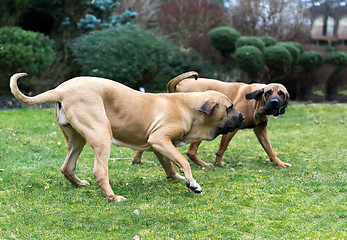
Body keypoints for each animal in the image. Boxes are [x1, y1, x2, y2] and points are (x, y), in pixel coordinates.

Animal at [10, 72, 245, 202]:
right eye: (229, 108)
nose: (243, 116)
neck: (186, 107)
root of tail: (60, 90)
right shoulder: (160, 139)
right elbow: (183, 162)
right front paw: (192, 183)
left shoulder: (159, 145)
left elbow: (170, 165)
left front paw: (178, 178)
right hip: (102, 134)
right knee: (99, 171)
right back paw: (112, 197)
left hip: (77, 139)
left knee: (67, 167)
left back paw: (78, 184)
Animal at [135, 71, 292, 167]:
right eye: (268, 93)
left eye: (281, 94)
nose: (274, 103)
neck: (256, 104)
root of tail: (178, 85)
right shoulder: (231, 128)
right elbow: (222, 148)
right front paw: (219, 163)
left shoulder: (261, 130)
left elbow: (270, 149)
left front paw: (279, 163)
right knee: (191, 152)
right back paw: (203, 165)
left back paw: (137, 159)